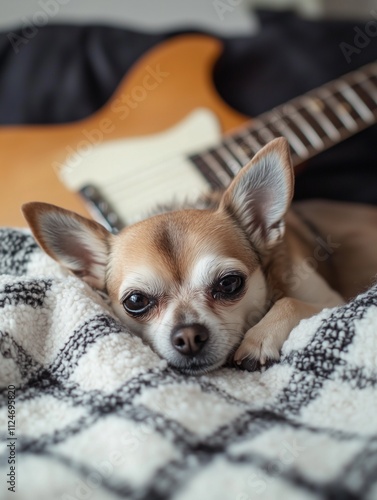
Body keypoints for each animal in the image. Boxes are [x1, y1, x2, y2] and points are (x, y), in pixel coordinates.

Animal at [21, 139, 377, 374]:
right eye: (135, 301)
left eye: (230, 284)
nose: (189, 336)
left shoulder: (331, 300)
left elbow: (290, 301)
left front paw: (260, 338)